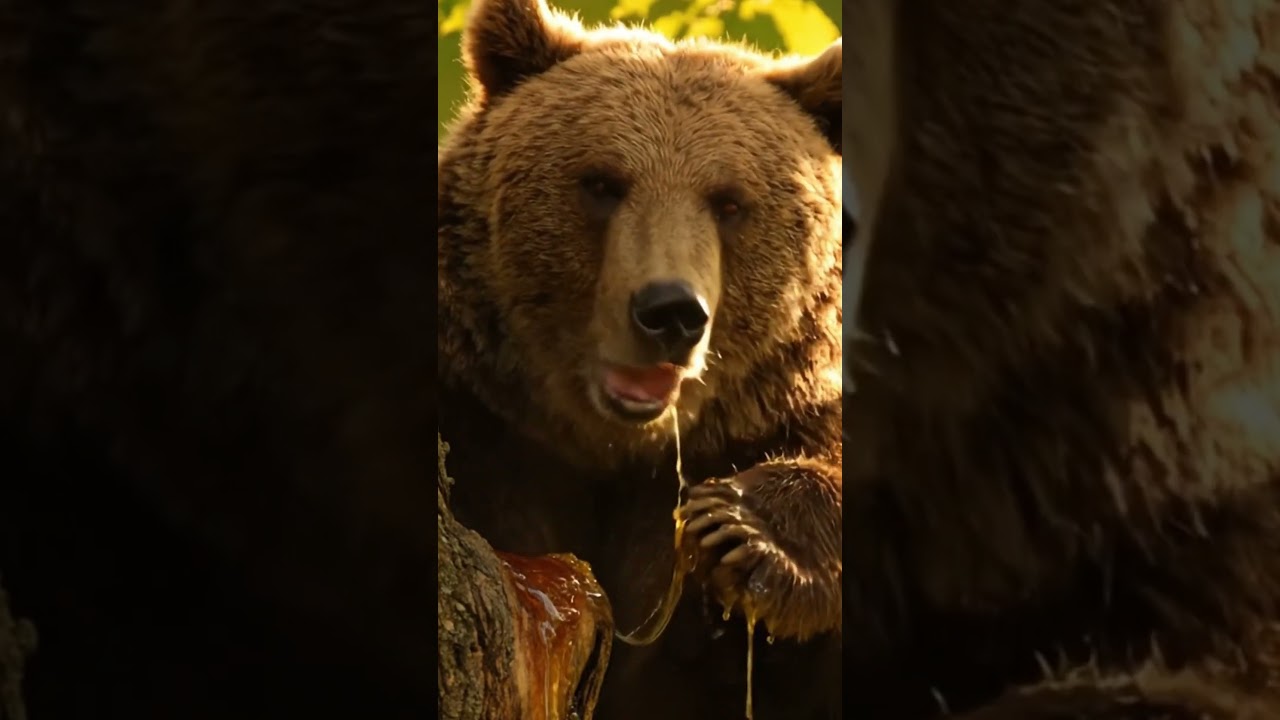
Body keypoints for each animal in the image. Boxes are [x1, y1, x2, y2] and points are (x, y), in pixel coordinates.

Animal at [435, 0, 844, 718]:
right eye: (602, 183)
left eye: (729, 202)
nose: (670, 311)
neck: (612, 445)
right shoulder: (487, 419)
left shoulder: (771, 413)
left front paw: (744, 532)